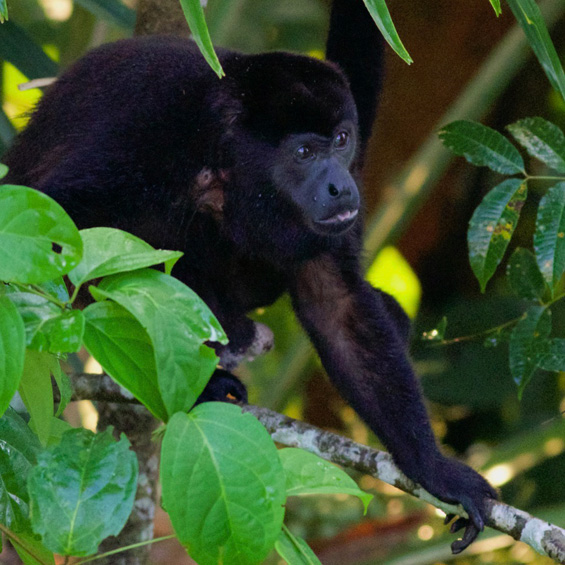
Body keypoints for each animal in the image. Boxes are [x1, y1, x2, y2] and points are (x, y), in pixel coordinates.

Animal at [5, 0, 498, 552]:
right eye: (304, 153)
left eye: (341, 140)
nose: (341, 185)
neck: (226, 160)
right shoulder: (142, 143)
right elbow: (67, 226)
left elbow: (338, 308)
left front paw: (435, 470)